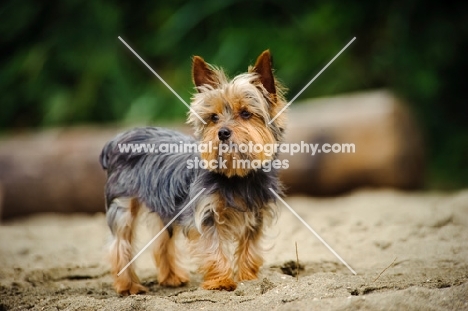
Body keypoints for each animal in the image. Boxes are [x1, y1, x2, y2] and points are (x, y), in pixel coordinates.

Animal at [100, 50, 288, 296]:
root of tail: (117, 139)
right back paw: (128, 285)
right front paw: (221, 281)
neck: (236, 176)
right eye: (213, 118)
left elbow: (250, 245)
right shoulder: (206, 213)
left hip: (163, 204)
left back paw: (171, 278)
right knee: (120, 243)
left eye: (246, 113)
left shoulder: (256, 213)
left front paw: (247, 276)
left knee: (162, 243)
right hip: (123, 203)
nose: (222, 132)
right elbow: (214, 246)